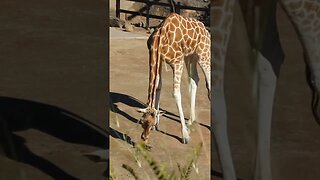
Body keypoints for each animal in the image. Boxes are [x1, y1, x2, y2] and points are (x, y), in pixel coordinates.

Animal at [137, 12, 210, 144]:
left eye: (151, 123)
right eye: (142, 122)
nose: (144, 138)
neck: (160, 37)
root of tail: (205, 29)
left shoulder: (177, 62)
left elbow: (176, 94)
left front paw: (185, 136)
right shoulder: (158, 58)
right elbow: (158, 86)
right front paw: (158, 123)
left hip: (204, 55)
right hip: (190, 56)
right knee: (194, 79)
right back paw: (190, 121)